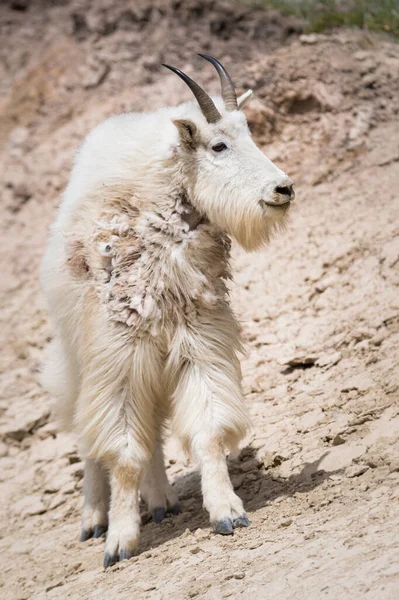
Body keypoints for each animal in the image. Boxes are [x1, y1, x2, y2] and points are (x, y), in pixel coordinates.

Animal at [40, 55, 296, 568]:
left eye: (251, 134)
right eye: (218, 145)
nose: (283, 189)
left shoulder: (198, 341)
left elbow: (208, 429)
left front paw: (227, 511)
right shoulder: (117, 357)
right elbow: (122, 452)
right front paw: (120, 541)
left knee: (153, 430)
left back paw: (160, 501)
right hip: (78, 358)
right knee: (86, 436)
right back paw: (93, 518)